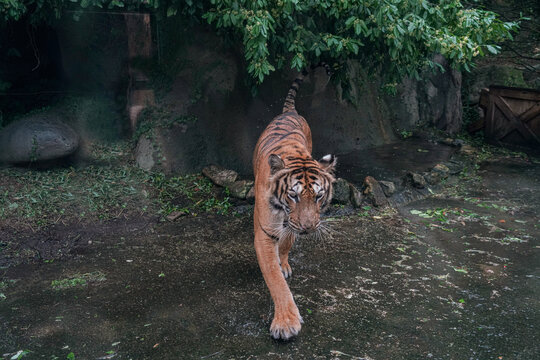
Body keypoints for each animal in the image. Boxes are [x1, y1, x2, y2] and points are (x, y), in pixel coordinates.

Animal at [252, 65, 336, 340]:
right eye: (293, 195)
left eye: (318, 196)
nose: (309, 228)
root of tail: (289, 111)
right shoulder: (264, 232)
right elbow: (275, 280)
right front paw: (286, 322)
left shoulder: (291, 226)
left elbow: (287, 243)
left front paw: (284, 263)